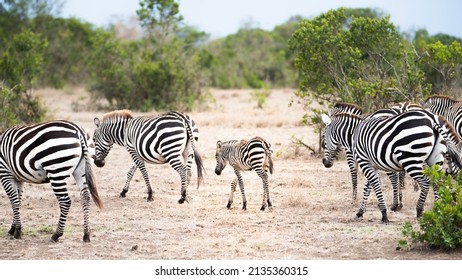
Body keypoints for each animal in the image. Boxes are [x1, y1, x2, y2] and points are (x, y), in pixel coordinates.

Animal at [322, 109, 462, 223]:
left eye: (324, 140)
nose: (325, 162)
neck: (354, 134)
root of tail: (432, 119)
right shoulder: (372, 165)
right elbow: (368, 187)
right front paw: (360, 211)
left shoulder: (364, 162)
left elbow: (375, 185)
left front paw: (384, 214)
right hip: (435, 159)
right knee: (437, 181)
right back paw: (439, 209)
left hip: (410, 159)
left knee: (426, 182)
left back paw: (419, 211)